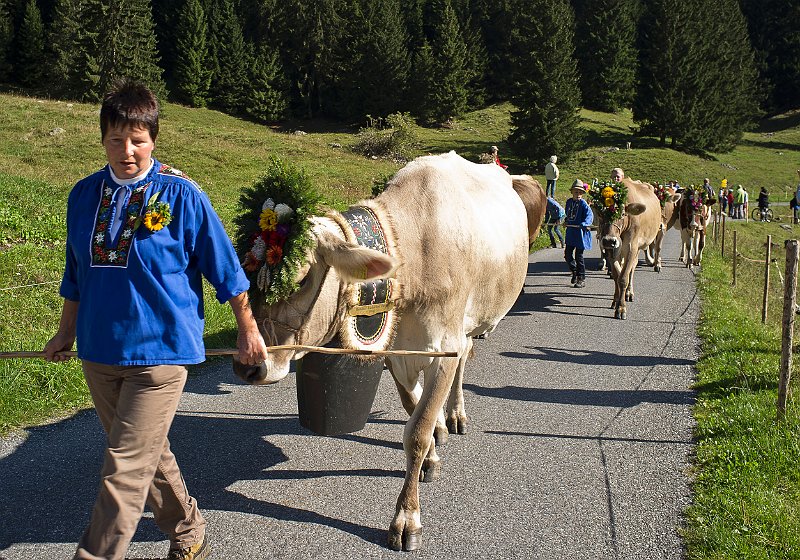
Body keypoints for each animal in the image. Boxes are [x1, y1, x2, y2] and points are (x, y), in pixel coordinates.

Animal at [231, 152, 532, 552]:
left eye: (300, 279)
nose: (246, 365)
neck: (416, 253)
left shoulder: (444, 348)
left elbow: (416, 431)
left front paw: (407, 517)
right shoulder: (396, 351)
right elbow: (414, 409)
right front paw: (433, 450)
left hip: (469, 323)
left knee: (466, 357)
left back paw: (456, 414)